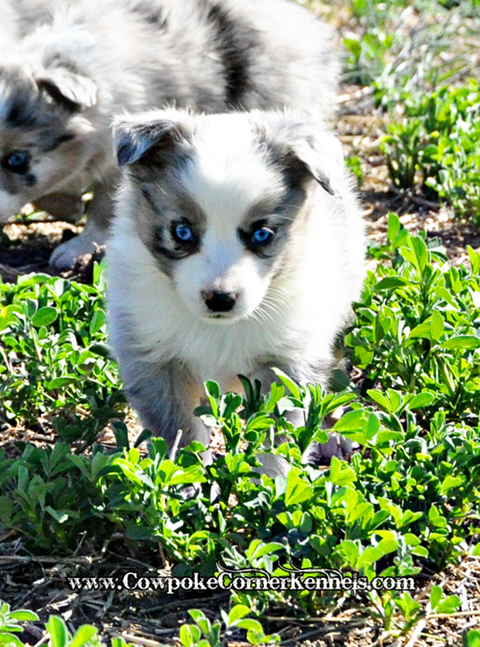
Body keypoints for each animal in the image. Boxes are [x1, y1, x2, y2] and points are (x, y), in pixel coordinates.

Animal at [107, 110, 366, 476]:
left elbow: (277, 435)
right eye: (182, 232)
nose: (220, 298)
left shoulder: (288, 360)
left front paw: (271, 484)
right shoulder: (152, 359)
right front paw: (185, 481)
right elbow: (181, 433)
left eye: (262, 234)